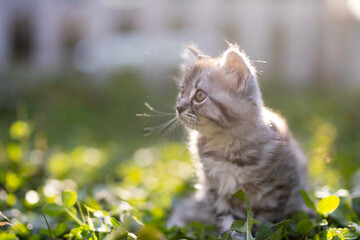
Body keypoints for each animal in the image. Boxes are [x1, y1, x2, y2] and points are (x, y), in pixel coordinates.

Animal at [167, 43, 308, 234]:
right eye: (182, 92)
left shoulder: (280, 185)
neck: (225, 145)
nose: (179, 108)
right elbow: (226, 219)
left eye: (199, 96)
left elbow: (264, 219)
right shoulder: (215, 189)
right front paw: (231, 234)